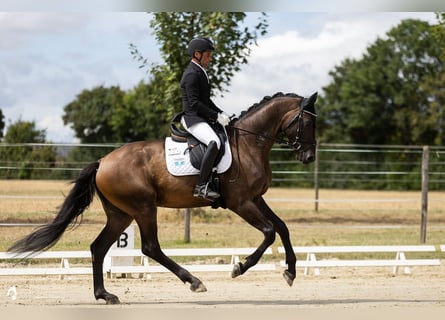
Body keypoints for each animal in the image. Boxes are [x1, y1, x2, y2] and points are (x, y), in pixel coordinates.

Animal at [8, 91, 318, 304]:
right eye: (306, 123)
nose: (309, 157)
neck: (250, 142)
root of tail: (102, 162)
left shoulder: (256, 198)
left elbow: (282, 228)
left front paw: (290, 272)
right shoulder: (241, 202)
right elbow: (268, 232)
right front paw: (239, 267)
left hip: (121, 214)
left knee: (99, 247)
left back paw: (105, 295)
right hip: (143, 207)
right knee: (150, 247)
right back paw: (193, 281)